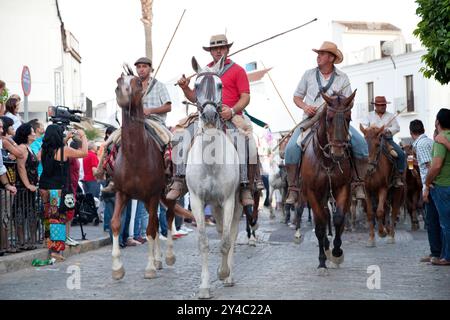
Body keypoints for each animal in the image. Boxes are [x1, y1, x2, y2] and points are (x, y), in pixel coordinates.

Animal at [110, 67, 178, 280]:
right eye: (118, 80)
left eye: (138, 83)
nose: (121, 93)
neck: (135, 155)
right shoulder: (122, 193)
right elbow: (116, 224)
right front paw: (117, 268)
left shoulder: (154, 194)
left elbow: (149, 230)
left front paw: (149, 268)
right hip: (145, 200)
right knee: (156, 222)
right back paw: (158, 259)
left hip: (167, 195)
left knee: (168, 217)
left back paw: (168, 256)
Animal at [300, 90, 356, 276]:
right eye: (329, 118)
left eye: (348, 118)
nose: (338, 153)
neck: (325, 160)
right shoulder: (311, 192)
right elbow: (320, 225)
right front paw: (322, 262)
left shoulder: (343, 187)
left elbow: (338, 219)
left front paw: (337, 252)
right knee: (323, 218)